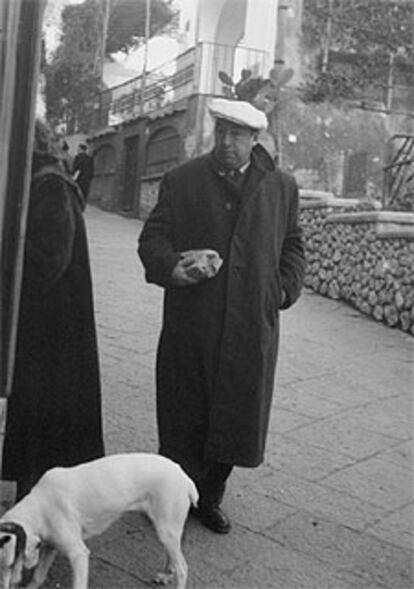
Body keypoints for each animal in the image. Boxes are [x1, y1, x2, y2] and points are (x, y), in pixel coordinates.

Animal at [0, 452, 199, 584]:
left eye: (11, 565)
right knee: (174, 557)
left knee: (183, 568)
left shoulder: (78, 554)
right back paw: (166, 574)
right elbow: (38, 577)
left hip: (166, 529)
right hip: (166, 530)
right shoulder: (51, 546)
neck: (39, 507)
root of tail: (184, 477)